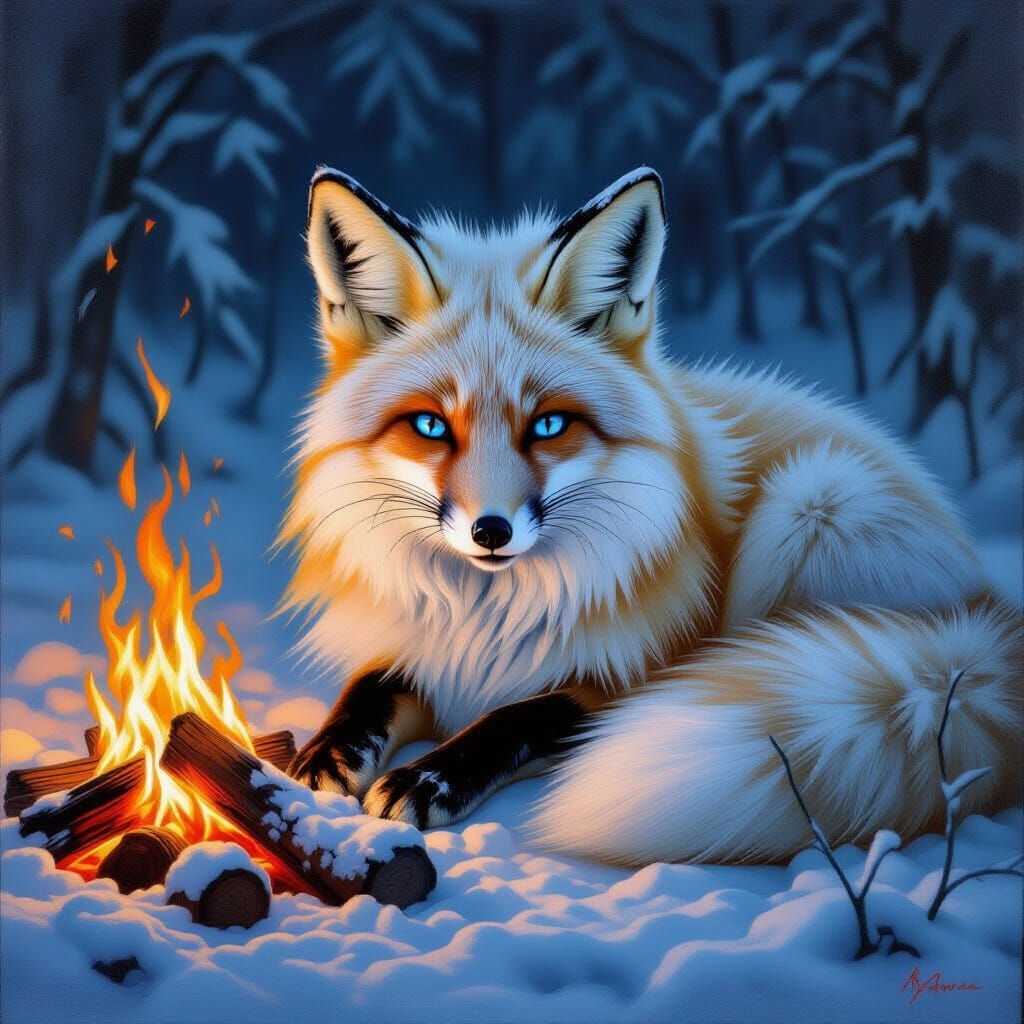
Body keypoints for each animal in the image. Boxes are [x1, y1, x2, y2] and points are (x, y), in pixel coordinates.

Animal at [282, 165, 1021, 865]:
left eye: (548, 425)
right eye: (432, 426)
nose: (491, 531)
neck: (485, 621)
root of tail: (989, 610)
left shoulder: (625, 678)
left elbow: (515, 719)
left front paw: (430, 776)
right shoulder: (418, 643)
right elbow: (368, 690)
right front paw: (325, 753)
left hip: (813, 501)